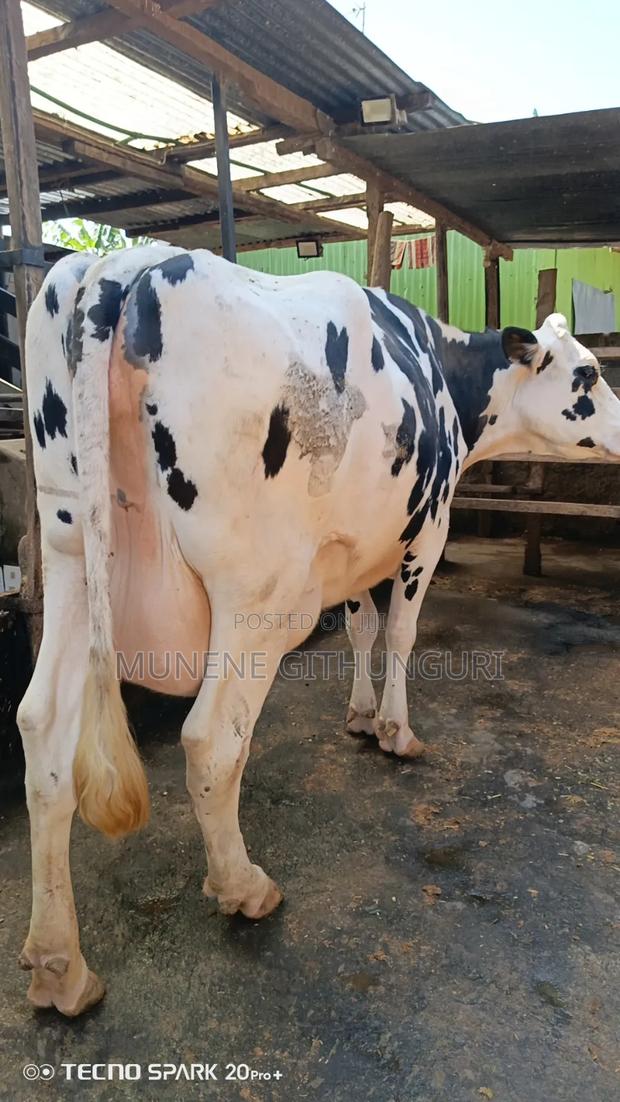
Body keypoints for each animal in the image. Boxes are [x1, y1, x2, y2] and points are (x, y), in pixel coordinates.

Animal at [17, 245, 620, 1015]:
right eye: (590, 372)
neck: (444, 372)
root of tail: (124, 264)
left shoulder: (355, 545)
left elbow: (362, 627)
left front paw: (360, 716)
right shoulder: (429, 527)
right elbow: (400, 634)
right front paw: (396, 731)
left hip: (70, 555)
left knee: (42, 732)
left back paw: (59, 965)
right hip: (258, 595)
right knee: (211, 741)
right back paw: (243, 888)